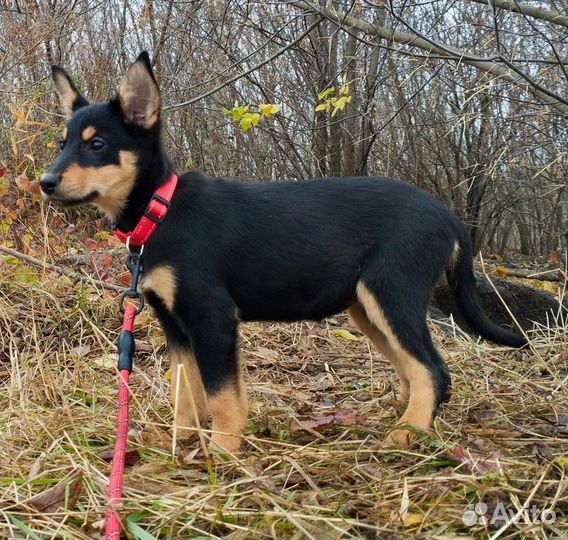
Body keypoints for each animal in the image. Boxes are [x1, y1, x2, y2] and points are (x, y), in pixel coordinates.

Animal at [41, 53, 524, 452]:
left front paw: (223, 452)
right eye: (63, 143)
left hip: (391, 294)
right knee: (413, 368)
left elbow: (222, 396)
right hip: (366, 307)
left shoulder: (213, 317)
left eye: (97, 145)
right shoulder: (175, 324)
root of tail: (448, 217)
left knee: (433, 370)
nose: (44, 183)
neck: (161, 210)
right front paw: (181, 442)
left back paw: (408, 432)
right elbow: (185, 392)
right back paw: (398, 414)